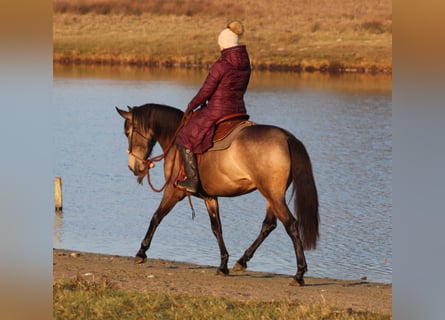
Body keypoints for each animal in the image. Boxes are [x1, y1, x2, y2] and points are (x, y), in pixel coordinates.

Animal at [116, 102, 318, 284]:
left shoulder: (173, 192)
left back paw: (299, 274)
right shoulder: (210, 197)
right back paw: (242, 261)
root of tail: (287, 137)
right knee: (268, 225)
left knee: (291, 225)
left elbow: (156, 217)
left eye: (127, 132)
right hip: (272, 196)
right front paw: (223, 265)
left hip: (273, 196)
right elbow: (217, 228)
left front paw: (141, 252)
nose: (133, 167)